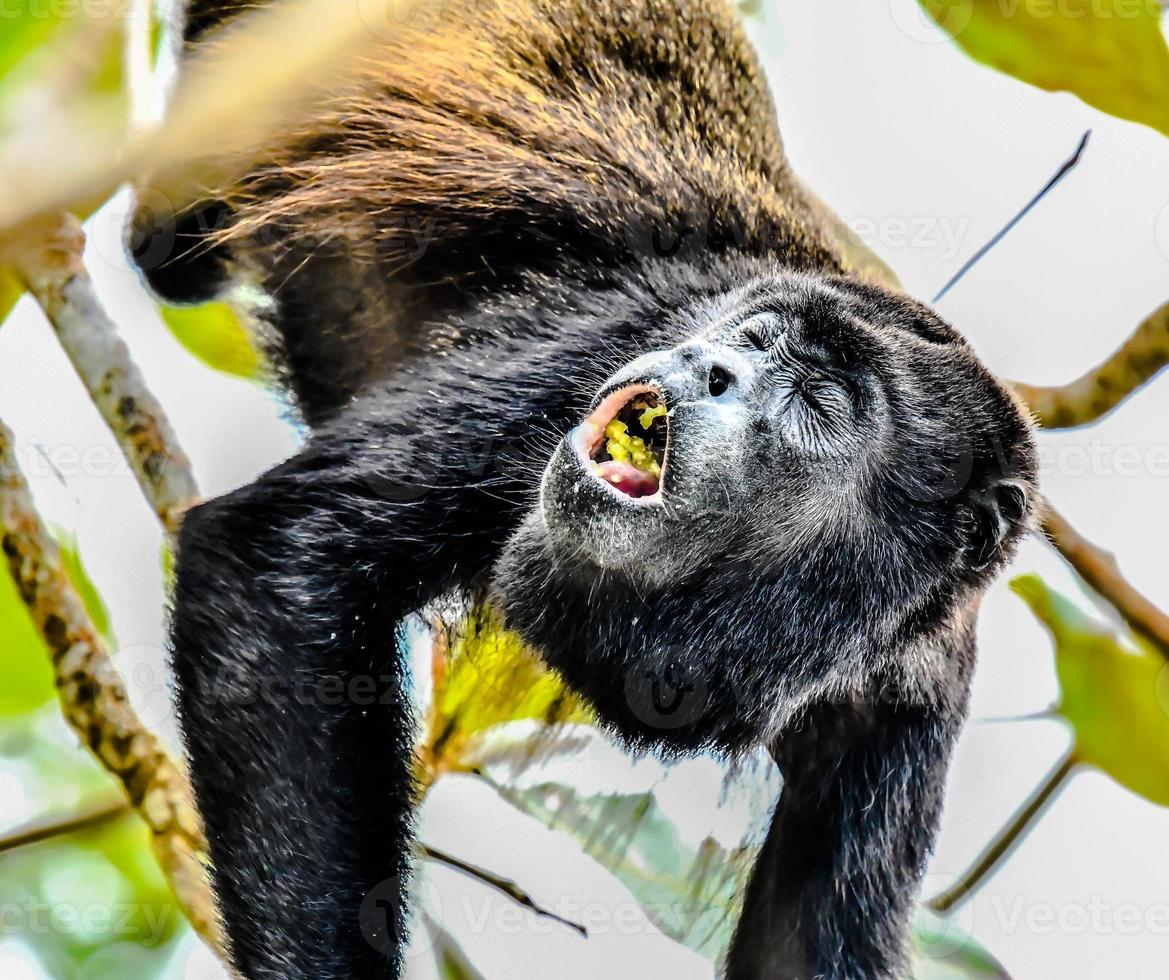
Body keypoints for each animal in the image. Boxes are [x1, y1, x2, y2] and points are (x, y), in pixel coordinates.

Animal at [128, 1, 1038, 980]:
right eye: (755, 338)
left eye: (819, 400)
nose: (710, 364)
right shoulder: (602, 339)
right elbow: (279, 558)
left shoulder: (910, 705)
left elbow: (807, 944)